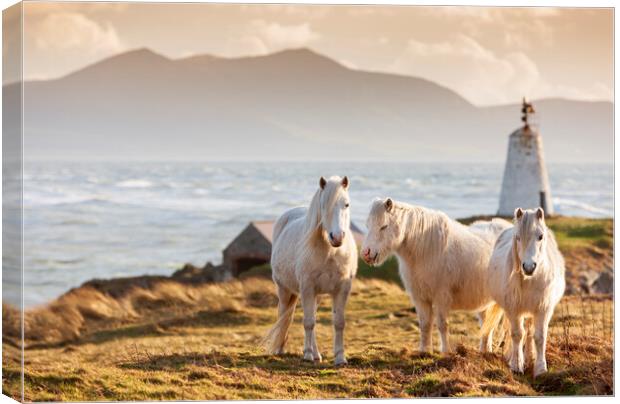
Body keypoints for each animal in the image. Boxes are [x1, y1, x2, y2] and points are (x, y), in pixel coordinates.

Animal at [262, 175, 358, 364]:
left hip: (317, 295)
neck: (330, 252)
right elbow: (308, 322)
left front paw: (340, 357)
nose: (337, 237)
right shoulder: (307, 288)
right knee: (284, 316)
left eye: (346, 204)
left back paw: (316, 354)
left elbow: (339, 323)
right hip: (285, 290)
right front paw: (306, 354)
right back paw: (282, 350)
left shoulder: (342, 289)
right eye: (324, 205)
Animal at [360, 199, 512, 354]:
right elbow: (425, 324)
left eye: (384, 226)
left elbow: (442, 324)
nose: (366, 253)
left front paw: (445, 352)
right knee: (486, 325)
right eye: (367, 225)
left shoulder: (441, 297)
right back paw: (485, 351)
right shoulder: (420, 298)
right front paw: (424, 351)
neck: (424, 251)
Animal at [480, 207, 568, 378]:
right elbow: (516, 334)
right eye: (518, 237)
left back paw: (530, 357)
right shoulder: (514, 310)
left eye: (540, 236)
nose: (529, 267)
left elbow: (539, 337)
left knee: (529, 332)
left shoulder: (543, 309)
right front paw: (516, 365)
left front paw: (540, 369)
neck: (531, 280)